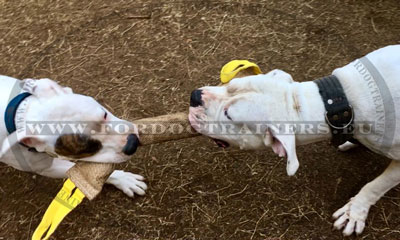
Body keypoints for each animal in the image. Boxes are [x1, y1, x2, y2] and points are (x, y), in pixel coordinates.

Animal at [0, 76, 147, 198]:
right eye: (89, 148)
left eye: (104, 114)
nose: (132, 143)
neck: (19, 113)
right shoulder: (47, 169)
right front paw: (123, 179)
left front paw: (124, 179)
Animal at [189, 45, 400, 236]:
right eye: (230, 84)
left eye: (229, 115)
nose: (195, 96)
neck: (336, 104)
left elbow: (375, 186)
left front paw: (354, 212)